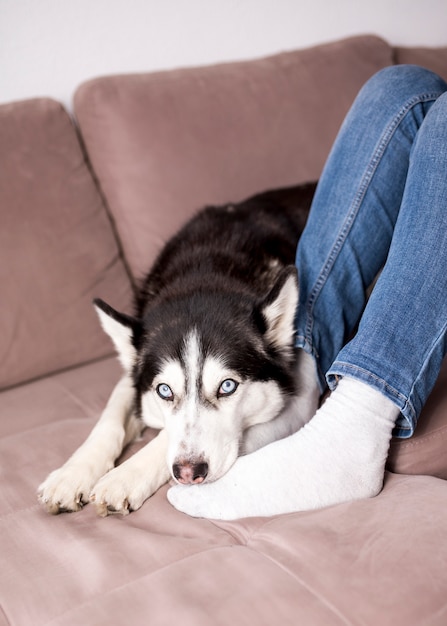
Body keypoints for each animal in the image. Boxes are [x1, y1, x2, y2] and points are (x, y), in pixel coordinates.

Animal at [39, 180, 318, 512]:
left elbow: (163, 439)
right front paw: (72, 474)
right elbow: (109, 418)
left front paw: (124, 477)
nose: (188, 473)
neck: (206, 272)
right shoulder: (136, 376)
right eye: (164, 391)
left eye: (227, 386)